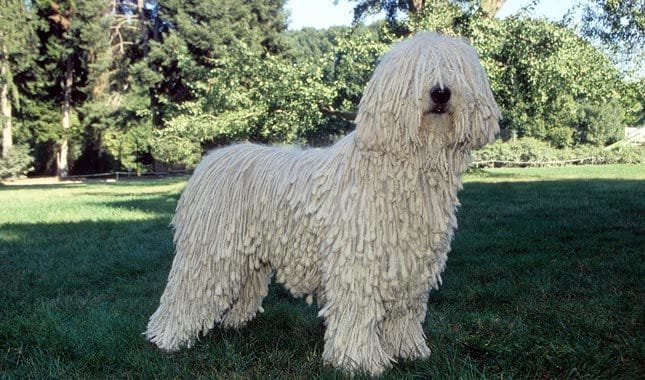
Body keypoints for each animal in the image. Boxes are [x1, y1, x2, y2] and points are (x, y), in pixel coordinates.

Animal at [145, 31, 498, 376]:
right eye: (418, 72)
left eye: (452, 68)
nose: (440, 93)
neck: (408, 167)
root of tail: (211, 159)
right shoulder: (358, 261)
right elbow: (358, 311)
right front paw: (360, 361)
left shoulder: (410, 264)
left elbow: (404, 312)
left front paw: (408, 350)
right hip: (210, 250)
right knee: (186, 292)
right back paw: (167, 338)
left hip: (247, 254)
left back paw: (233, 323)